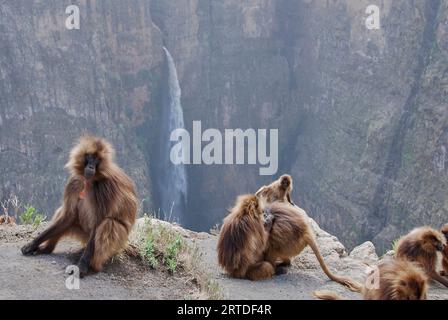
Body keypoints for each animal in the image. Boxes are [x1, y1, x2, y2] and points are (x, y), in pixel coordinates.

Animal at [21, 135, 136, 278]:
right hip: (82, 232)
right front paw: (32, 244)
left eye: (97, 159)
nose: (91, 166)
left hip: (118, 241)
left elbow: (98, 223)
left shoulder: (103, 188)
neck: (89, 180)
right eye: (89, 157)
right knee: (66, 216)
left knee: (108, 223)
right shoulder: (75, 181)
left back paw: (94, 266)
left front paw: (82, 266)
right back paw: (47, 249)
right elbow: (67, 216)